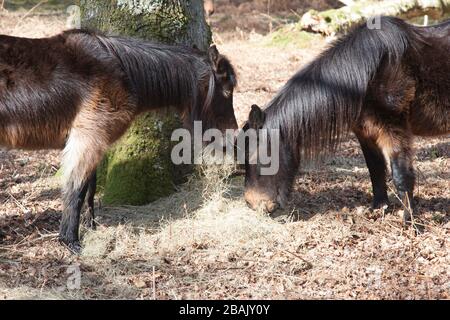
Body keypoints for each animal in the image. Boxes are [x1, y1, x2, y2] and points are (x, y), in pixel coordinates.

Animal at [0, 28, 239, 251]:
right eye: (227, 92)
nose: (233, 138)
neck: (124, 72)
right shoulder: (88, 139)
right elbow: (76, 190)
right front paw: (71, 242)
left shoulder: (92, 140)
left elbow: (90, 189)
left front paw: (91, 228)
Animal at [244, 17, 448, 216]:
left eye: (257, 157)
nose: (252, 203)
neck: (368, 74)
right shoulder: (365, 133)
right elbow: (375, 168)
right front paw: (379, 208)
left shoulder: (395, 129)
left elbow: (401, 175)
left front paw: (409, 220)